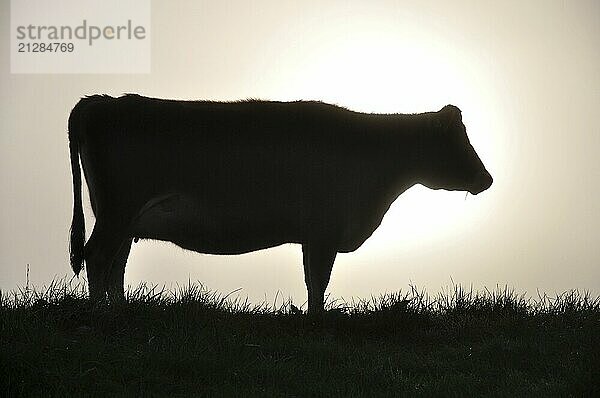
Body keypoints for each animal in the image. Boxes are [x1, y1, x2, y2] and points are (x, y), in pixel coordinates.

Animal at [70, 94, 492, 314]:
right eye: (458, 142)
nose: (486, 179)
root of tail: (101, 101)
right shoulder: (324, 231)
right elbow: (318, 280)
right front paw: (317, 320)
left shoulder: (313, 235)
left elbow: (312, 278)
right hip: (118, 209)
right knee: (98, 256)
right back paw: (100, 315)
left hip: (122, 217)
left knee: (116, 263)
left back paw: (120, 312)